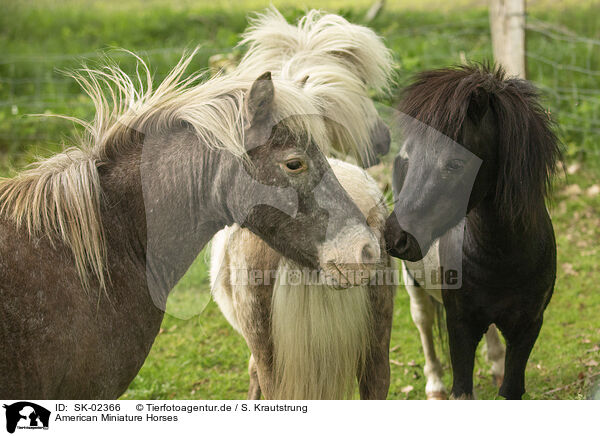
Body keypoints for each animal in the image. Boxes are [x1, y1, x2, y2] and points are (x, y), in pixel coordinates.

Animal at [386, 63, 560, 400]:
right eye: (409, 159)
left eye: (455, 163)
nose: (394, 236)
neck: (503, 257)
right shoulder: (460, 327)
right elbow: (461, 389)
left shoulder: (528, 327)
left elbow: (510, 388)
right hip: (414, 284)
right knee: (424, 323)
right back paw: (435, 386)